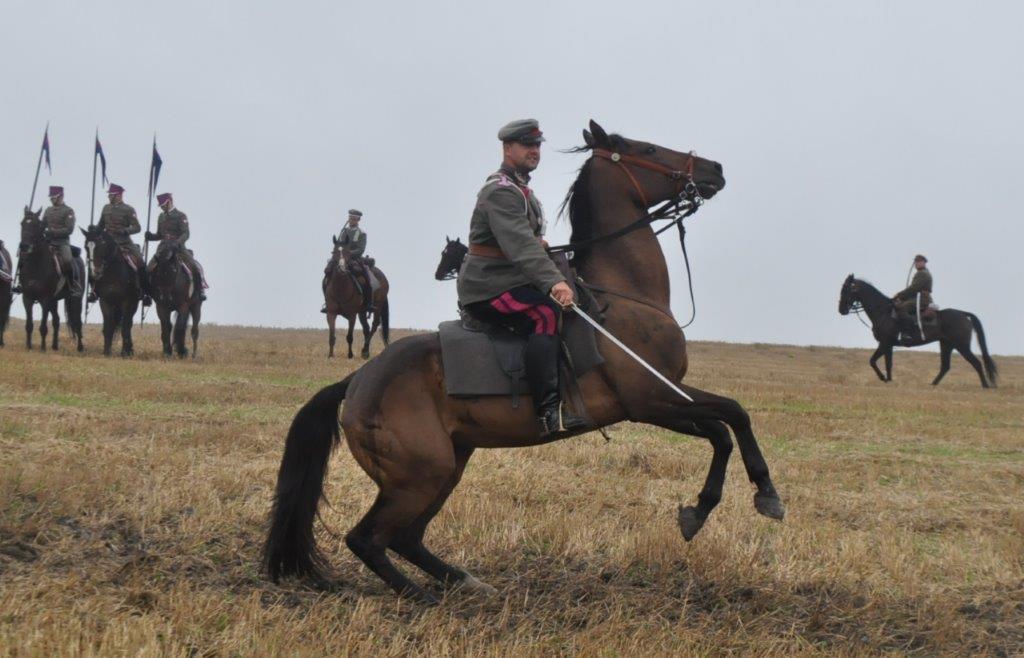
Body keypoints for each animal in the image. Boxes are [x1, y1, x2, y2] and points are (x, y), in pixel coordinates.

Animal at [16, 210, 83, 356]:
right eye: (22, 223)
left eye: (36, 225)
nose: (24, 246)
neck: (36, 265)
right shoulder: (27, 298)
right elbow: (29, 325)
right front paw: (28, 347)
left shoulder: (45, 299)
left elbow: (43, 326)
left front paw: (42, 348)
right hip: (54, 300)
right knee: (56, 320)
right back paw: (54, 346)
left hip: (75, 299)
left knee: (78, 322)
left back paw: (80, 347)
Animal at [81, 226, 143, 360]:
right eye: (86, 247)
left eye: (101, 245)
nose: (95, 272)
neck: (113, 274)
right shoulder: (105, 302)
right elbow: (108, 327)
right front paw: (106, 352)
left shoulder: (127, 302)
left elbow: (125, 327)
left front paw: (124, 353)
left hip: (133, 304)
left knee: (128, 324)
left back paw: (129, 350)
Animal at [266, 120, 782, 605]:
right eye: (648, 149)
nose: (714, 169)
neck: (624, 297)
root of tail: (358, 380)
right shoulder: (651, 399)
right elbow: (732, 415)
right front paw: (760, 495)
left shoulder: (662, 401)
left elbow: (723, 428)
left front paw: (710, 507)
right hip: (419, 476)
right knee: (368, 538)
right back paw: (421, 596)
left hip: (448, 466)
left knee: (405, 538)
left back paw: (466, 582)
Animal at [835, 276, 995, 388]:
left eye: (845, 289)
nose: (841, 310)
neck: (883, 311)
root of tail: (963, 314)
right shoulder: (888, 345)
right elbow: (887, 363)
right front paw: (889, 380)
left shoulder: (885, 343)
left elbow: (874, 361)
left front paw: (884, 379)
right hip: (946, 344)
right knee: (945, 366)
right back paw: (932, 385)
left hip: (961, 345)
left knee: (976, 363)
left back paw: (985, 385)